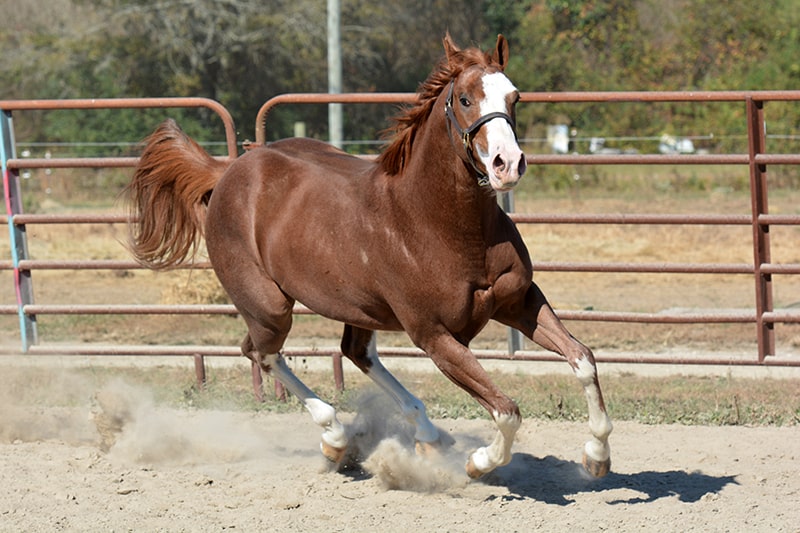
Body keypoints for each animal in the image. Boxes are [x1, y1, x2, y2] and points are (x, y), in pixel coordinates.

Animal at [126, 35, 612, 480]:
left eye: (515, 97)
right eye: (465, 99)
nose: (507, 164)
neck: (442, 225)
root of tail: (228, 171)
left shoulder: (519, 302)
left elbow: (583, 359)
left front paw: (597, 456)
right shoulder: (435, 336)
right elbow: (507, 409)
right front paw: (479, 463)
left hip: (356, 306)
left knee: (353, 352)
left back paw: (427, 436)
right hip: (268, 305)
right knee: (261, 352)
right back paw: (336, 439)